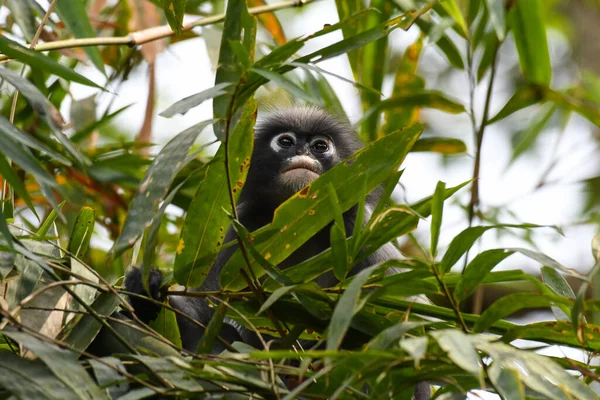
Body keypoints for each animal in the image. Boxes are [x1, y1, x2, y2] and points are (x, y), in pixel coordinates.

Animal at [124, 108, 428, 398]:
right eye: (286, 142)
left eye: (320, 146)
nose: (303, 153)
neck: (299, 224)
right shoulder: (241, 230)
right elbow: (204, 309)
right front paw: (144, 289)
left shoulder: (361, 229)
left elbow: (410, 323)